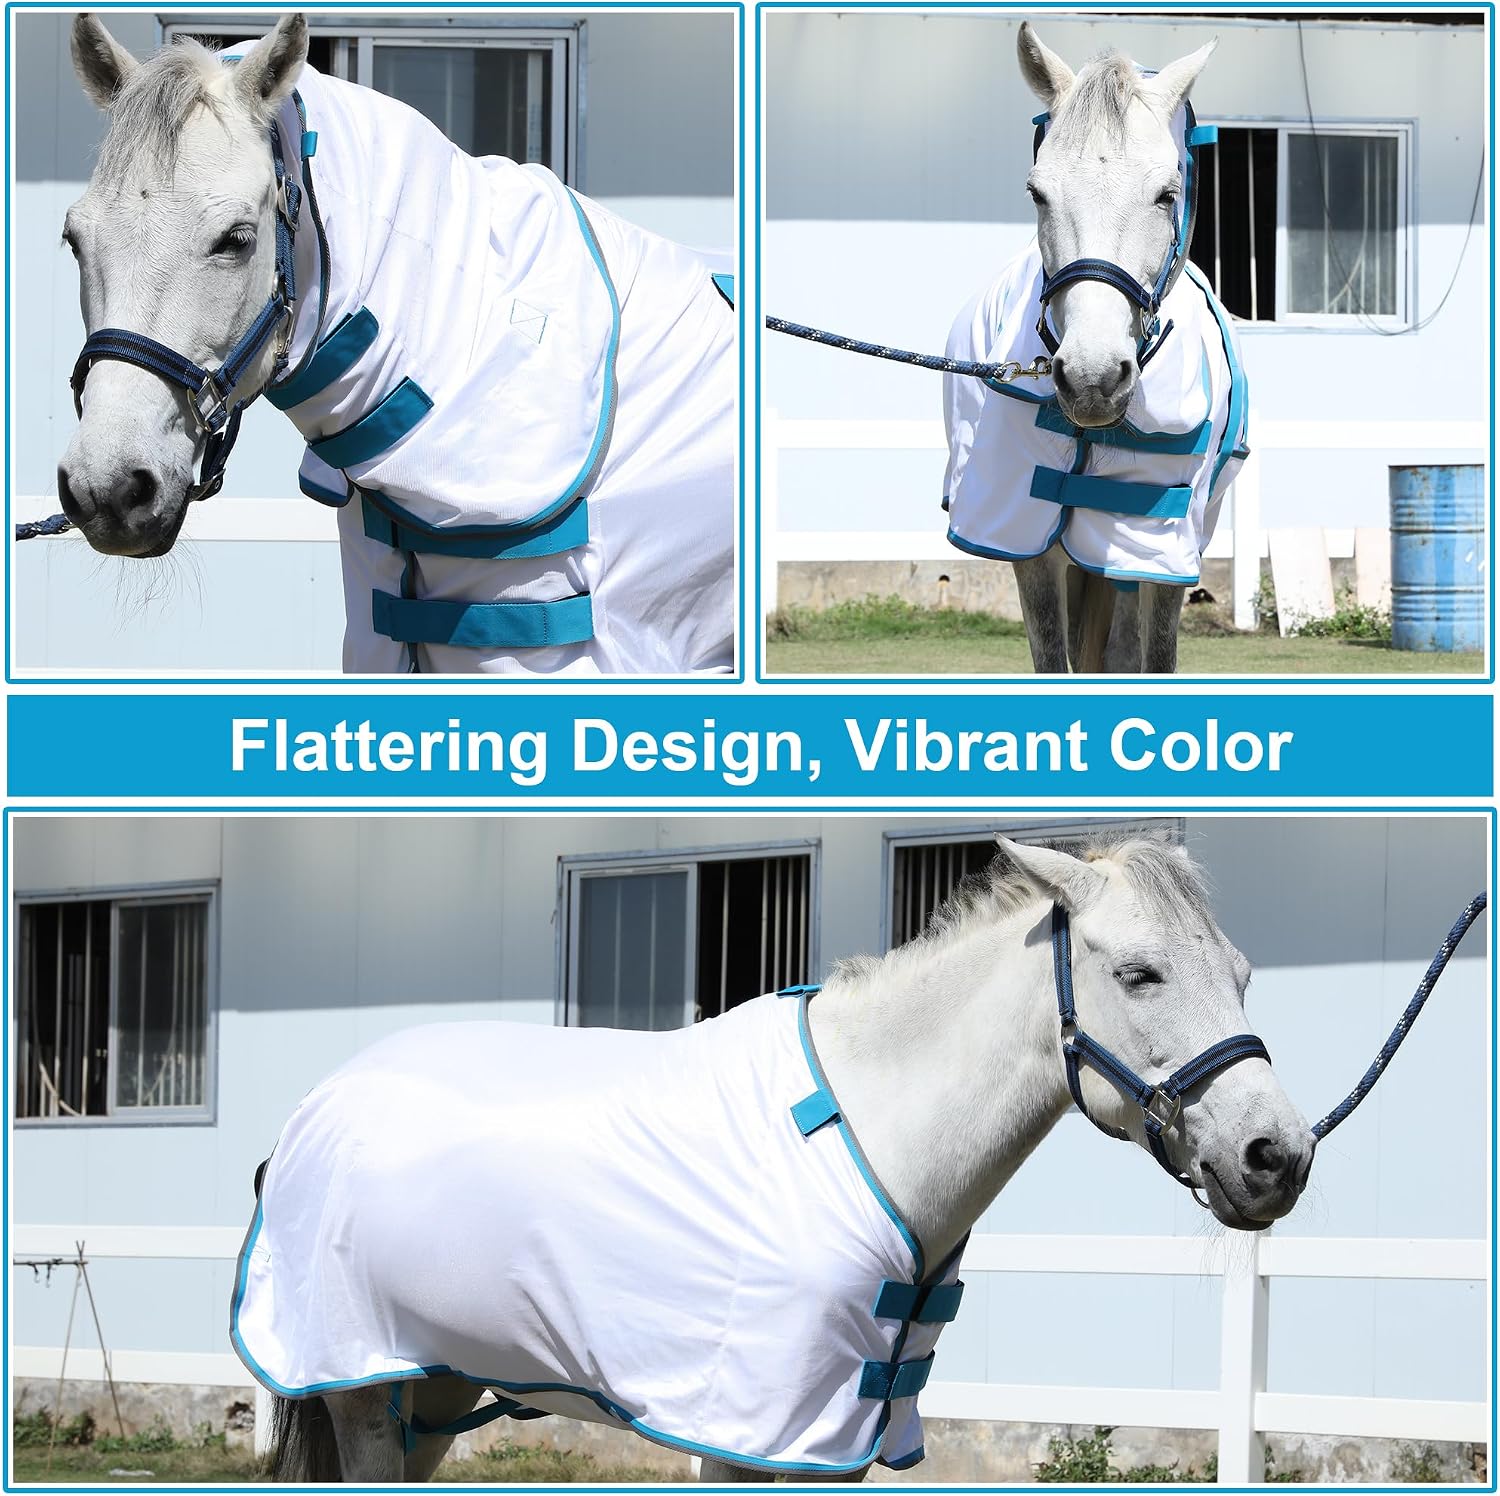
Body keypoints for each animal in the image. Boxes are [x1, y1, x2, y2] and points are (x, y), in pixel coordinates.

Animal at [233, 835, 1312, 1482]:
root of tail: (313, 1109)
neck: (871, 1125)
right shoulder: (745, 1432)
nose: (1278, 1155)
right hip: (360, 1389)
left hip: (433, 1385)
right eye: (1140, 973)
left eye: (1243, 974)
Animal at [943, 25, 1249, 673]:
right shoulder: (1029, 542)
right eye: (1037, 193)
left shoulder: (1154, 550)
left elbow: (1152, 657)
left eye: (1167, 194)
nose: (1092, 378)